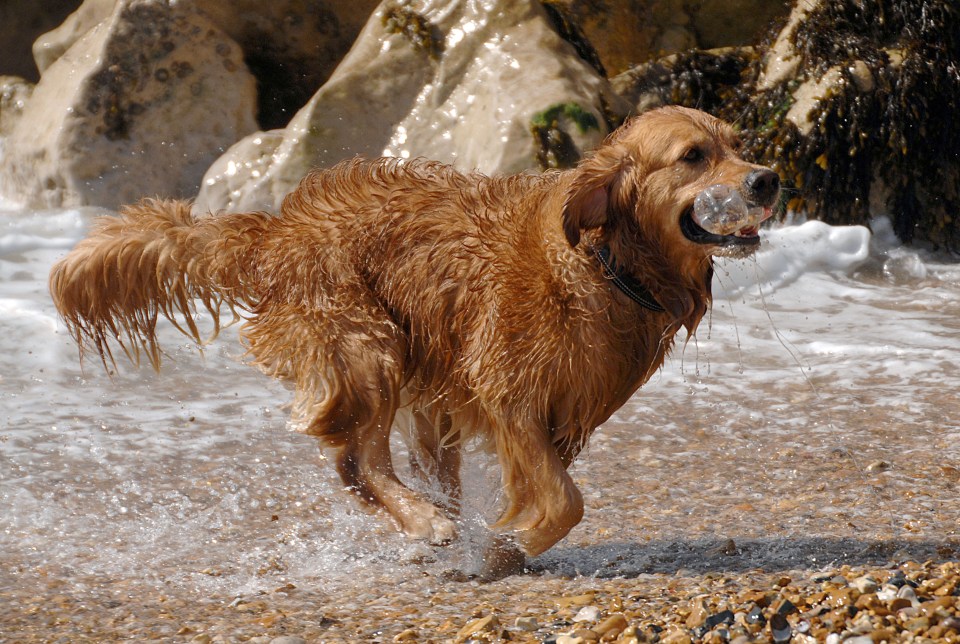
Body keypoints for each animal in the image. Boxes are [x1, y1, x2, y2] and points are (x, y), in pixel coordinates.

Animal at [48, 108, 776, 576]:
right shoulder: (509, 393)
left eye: (740, 144)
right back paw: (428, 524)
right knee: (357, 465)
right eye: (693, 156)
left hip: (417, 384)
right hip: (369, 349)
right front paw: (504, 547)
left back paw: (428, 526)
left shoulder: (565, 416)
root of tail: (276, 231)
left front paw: (501, 548)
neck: (603, 262)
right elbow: (565, 501)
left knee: (404, 468)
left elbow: (554, 490)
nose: (767, 178)